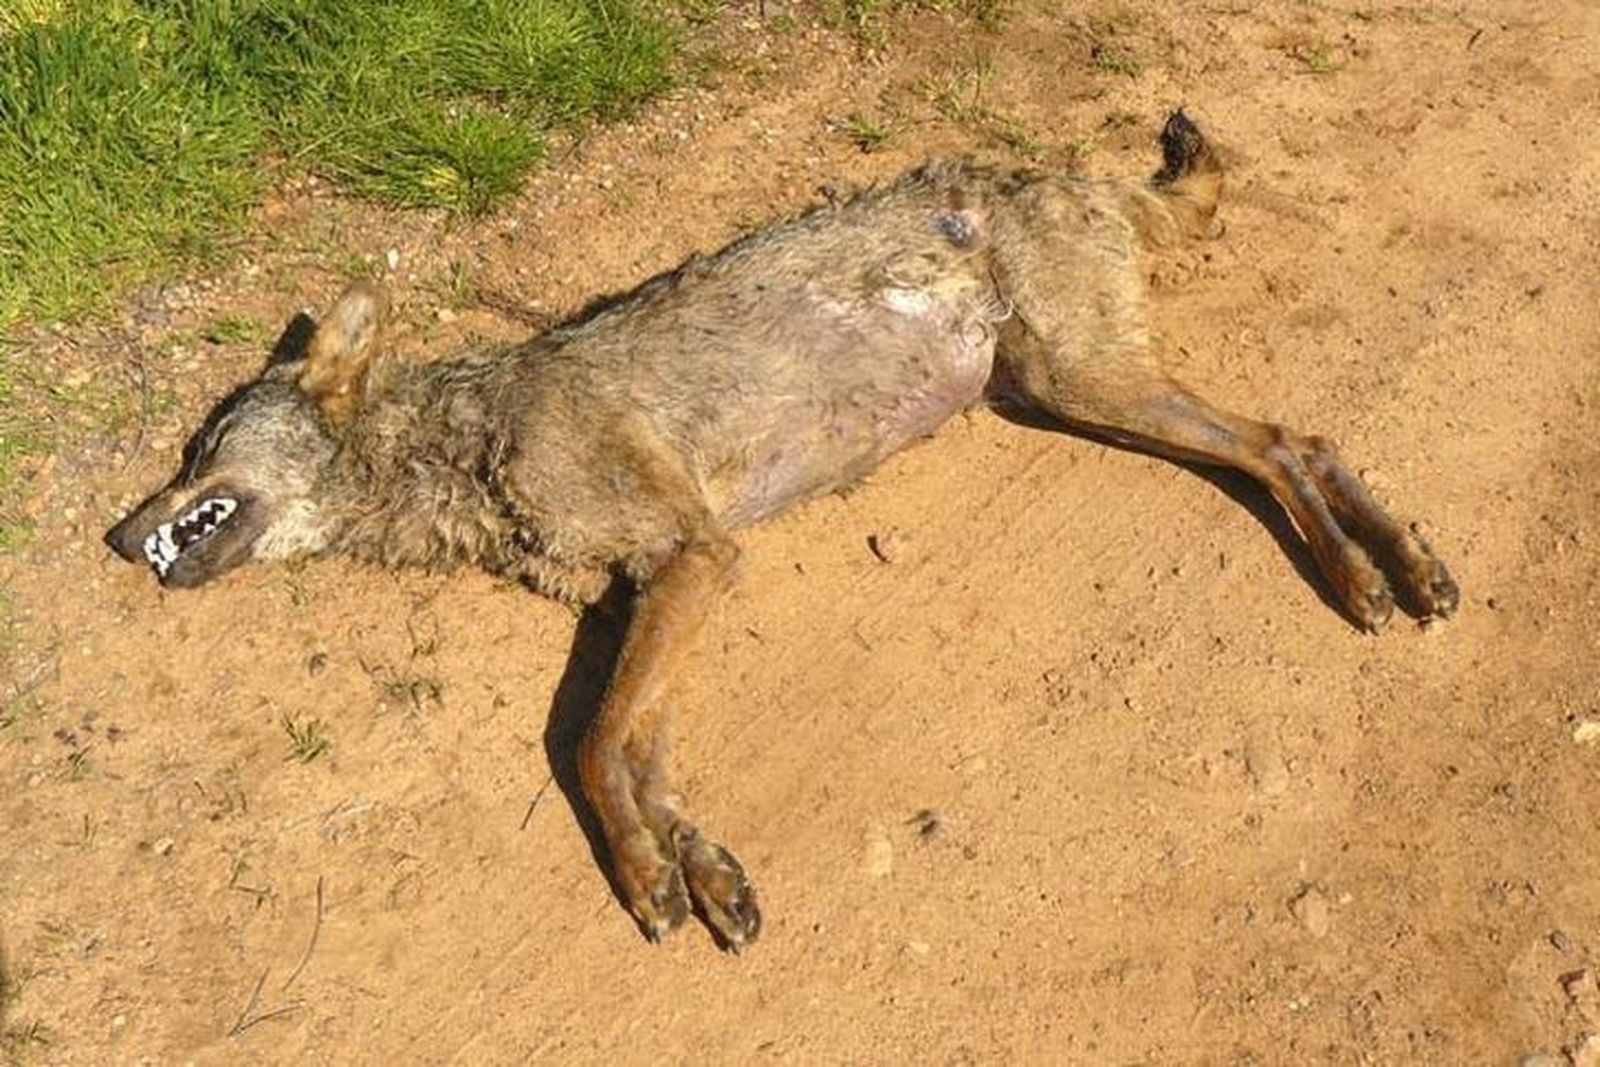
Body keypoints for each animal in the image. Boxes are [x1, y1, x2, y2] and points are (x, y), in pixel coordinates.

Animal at [105, 113, 1457, 952]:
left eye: (200, 451)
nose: (119, 537)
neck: (465, 441)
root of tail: (1056, 169)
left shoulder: (695, 561)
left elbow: (586, 743)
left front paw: (646, 876)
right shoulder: (647, 592)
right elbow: (635, 753)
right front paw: (698, 870)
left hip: (1085, 384)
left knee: (1282, 440)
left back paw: (1371, 577)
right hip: (1070, 390)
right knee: (1300, 438)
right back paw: (1409, 568)